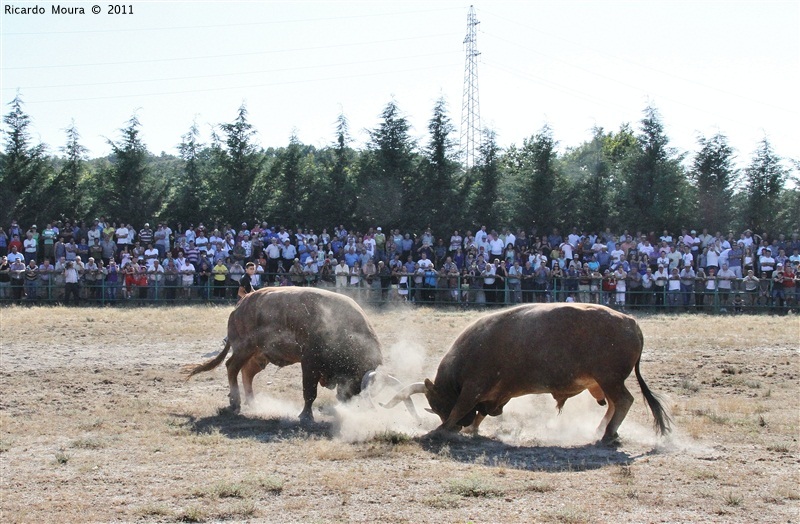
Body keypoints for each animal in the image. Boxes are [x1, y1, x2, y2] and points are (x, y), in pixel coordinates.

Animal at [189, 286, 386, 422]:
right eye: (356, 380)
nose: (351, 404)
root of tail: (240, 304)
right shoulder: (309, 363)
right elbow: (309, 392)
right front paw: (305, 416)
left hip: (259, 356)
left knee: (247, 372)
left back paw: (252, 402)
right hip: (244, 349)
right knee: (232, 367)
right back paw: (235, 403)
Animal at [384, 300, 672, 444]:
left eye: (437, 403)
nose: (460, 426)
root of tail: (632, 323)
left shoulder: (474, 387)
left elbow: (461, 407)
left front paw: (439, 430)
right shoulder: (493, 394)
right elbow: (482, 412)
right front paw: (470, 429)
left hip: (610, 379)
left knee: (624, 400)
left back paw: (608, 434)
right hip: (603, 382)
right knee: (614, 403)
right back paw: (601, 430)